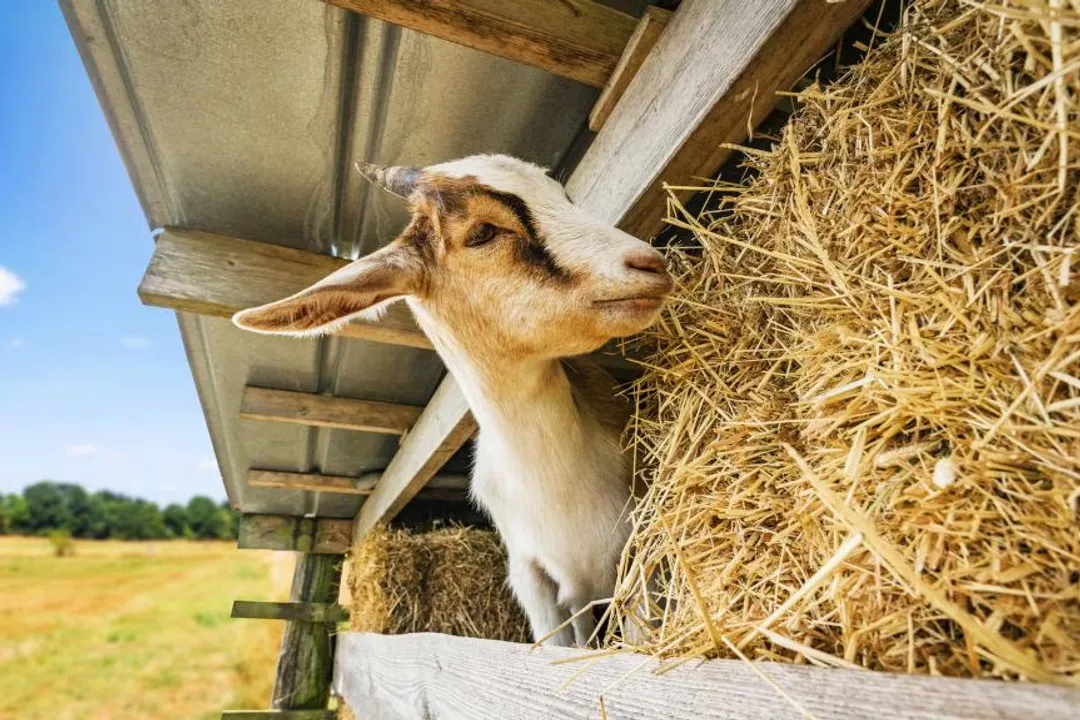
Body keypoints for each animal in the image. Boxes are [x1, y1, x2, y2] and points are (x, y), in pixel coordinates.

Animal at [233, 154, 671, 646]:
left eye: (561, 197)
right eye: (483, 232)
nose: (649, 263)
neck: (559, 488)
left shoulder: (638, 556)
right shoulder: (538, 584)